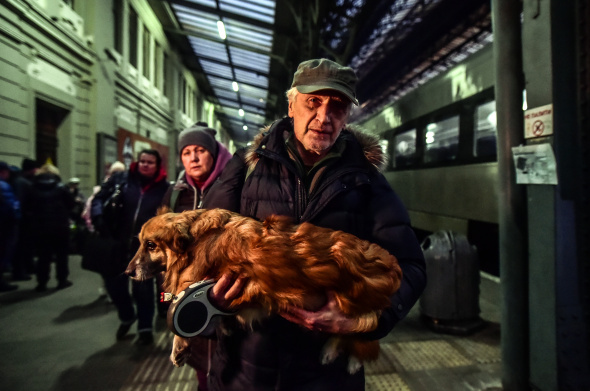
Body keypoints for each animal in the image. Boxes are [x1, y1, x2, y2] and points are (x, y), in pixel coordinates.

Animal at [127, 207, 404, 372]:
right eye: (139, 242)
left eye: (150, 245)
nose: (128, 272)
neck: (194, 238)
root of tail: (390, 264)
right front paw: (225, 326)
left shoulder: (196, 286)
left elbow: (180, 320)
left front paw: (180, 347)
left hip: (350, 304)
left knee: (361, 331)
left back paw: (346, 358)